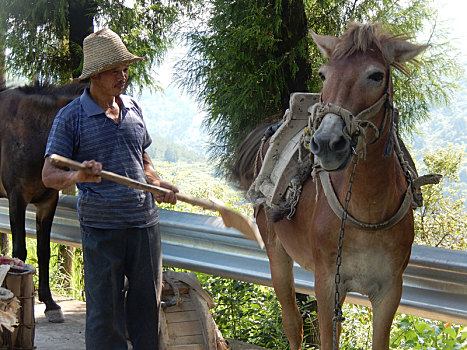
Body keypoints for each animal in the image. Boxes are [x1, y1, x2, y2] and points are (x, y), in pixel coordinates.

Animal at [233, 23, 428, 348]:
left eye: (376, 75)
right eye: (323, 75)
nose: (326, 142)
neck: (367, 210)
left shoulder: (389, 291)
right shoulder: (325, 284)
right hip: (277, 253)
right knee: (293, 323)